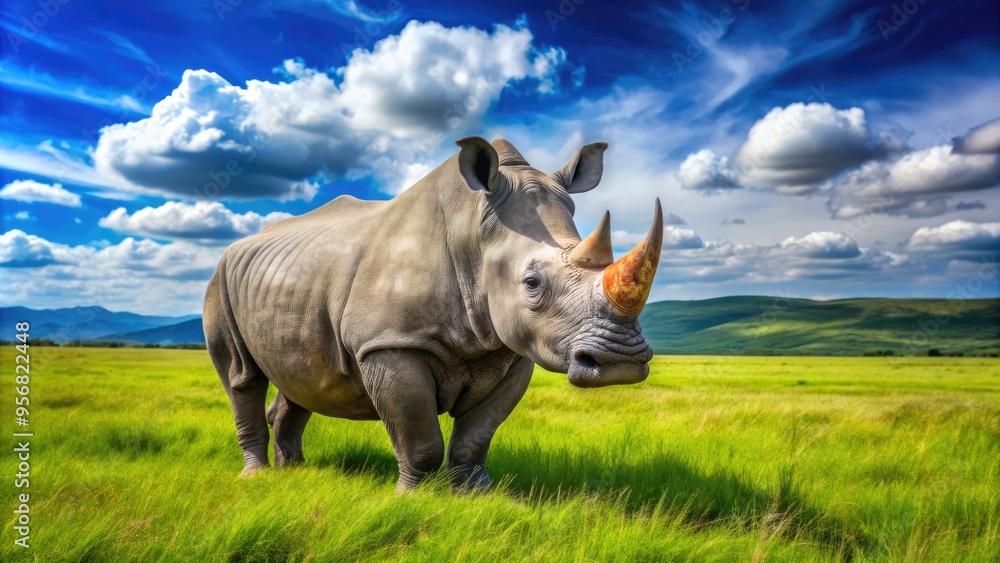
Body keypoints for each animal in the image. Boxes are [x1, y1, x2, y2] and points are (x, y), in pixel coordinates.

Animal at [204, 137, 663, 492]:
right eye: (532, 283)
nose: (619, 362)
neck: (473, 232)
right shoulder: (388, 344)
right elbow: (419, 437)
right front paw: (413, 498)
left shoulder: (513, 349)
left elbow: (475, 438)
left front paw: (476, 495)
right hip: (219, 281)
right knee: (241, 376)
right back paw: (256, 478)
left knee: (302, 375)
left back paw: (294, 473)